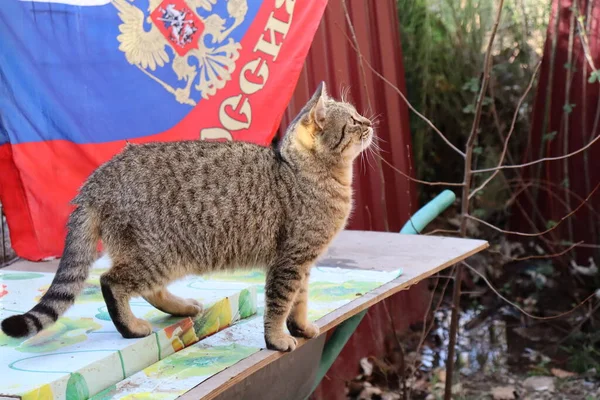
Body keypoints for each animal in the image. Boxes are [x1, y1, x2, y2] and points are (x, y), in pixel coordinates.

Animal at [2, 83, 372, 352]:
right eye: (353, 122)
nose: (369, 122)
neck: (303, 171)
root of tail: (98, 178)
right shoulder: (289, 261)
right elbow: (280, 304)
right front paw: (278, 339)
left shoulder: (303, 262)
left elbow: (299, 301)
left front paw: (302, 327)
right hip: (159, 254)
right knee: (111, 281)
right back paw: (131, 327)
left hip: (161, 255)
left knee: (148, 290)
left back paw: (181, 308)